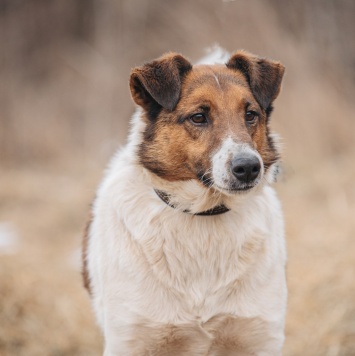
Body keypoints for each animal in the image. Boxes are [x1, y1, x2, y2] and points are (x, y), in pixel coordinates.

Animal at [84, 48, 290, 356]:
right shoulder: (131, 338)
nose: (249, 167)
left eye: (251, 114)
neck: (202, 215)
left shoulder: (259, 336)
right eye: (198, 117)